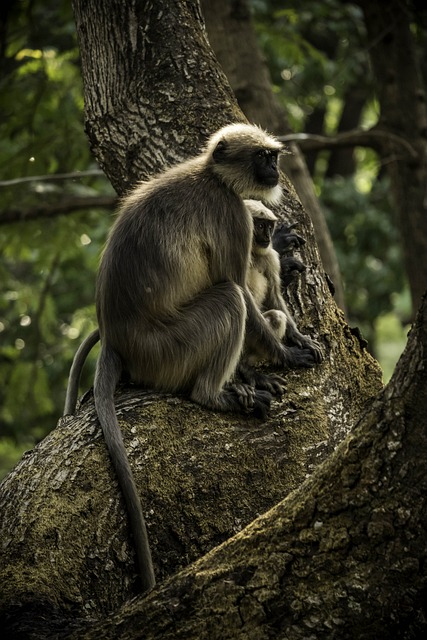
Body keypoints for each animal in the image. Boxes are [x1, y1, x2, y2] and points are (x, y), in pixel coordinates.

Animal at [64, 124, 318, 596]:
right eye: (262, 157)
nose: (274, 172)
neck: (211, 177)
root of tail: (116, 338)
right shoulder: (229, 214)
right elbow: (238, 285)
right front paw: (287, 355)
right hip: (170, 347)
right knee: (230, 297)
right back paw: (214, 394)